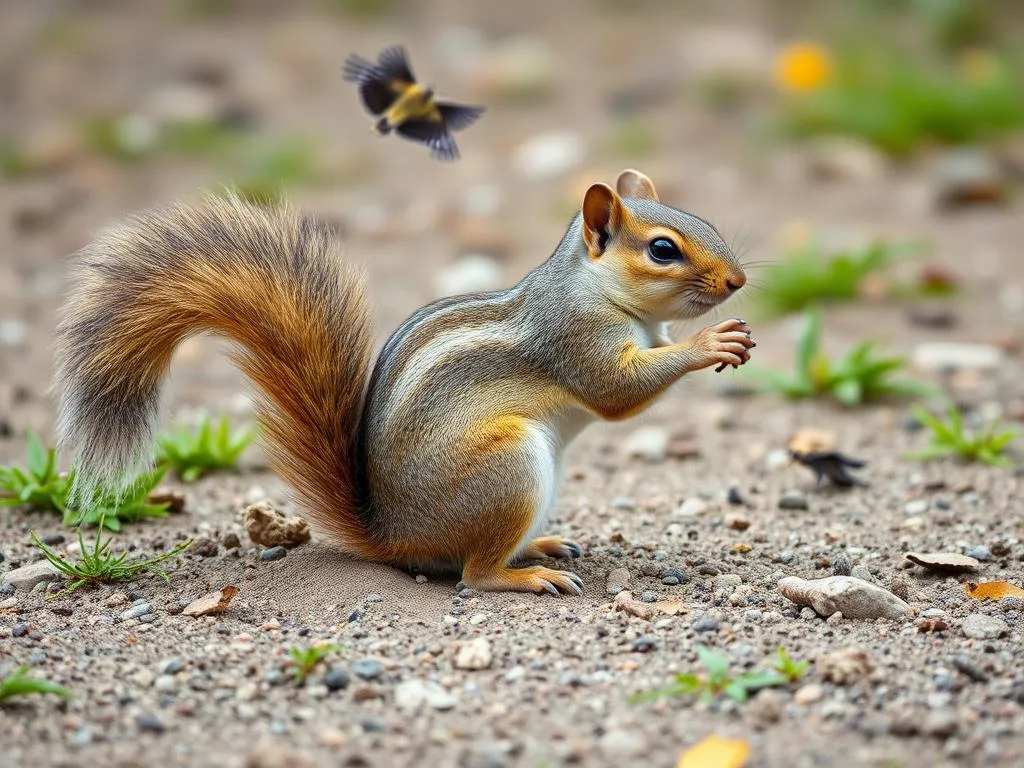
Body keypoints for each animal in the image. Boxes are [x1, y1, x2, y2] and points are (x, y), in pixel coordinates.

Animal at [51, 171, 753, 598]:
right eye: (662, 249)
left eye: (703, 218)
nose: (739, 281)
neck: (593, 288)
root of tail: (392, 536)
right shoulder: (573, 341)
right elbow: (616, 393)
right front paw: (710, 344)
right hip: (510, 468)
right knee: (471, 572)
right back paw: (523, 576)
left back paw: (542, 546)